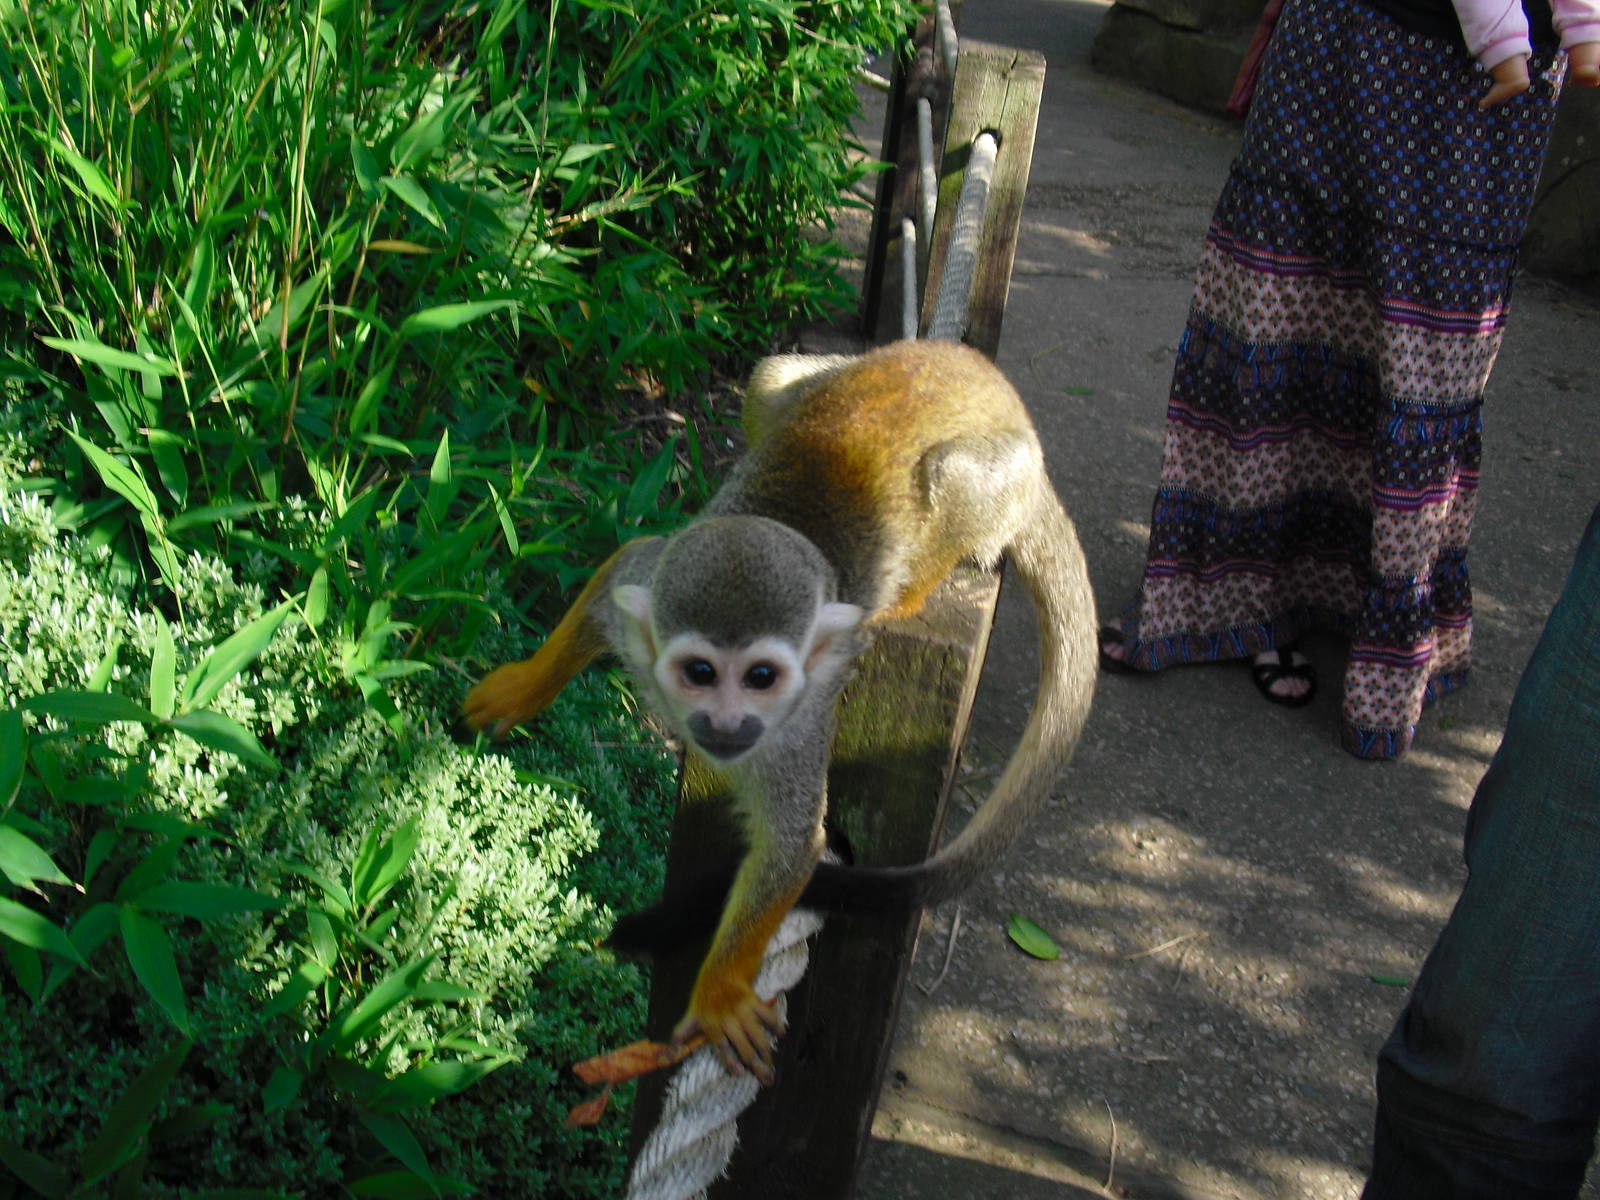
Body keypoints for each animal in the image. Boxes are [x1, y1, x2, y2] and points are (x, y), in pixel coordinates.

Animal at [463, 339, 1096, 1084]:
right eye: (700, 673)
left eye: (762, 678)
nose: (726, 724)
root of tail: (995, 386)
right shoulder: (645, 590)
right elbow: (622, 568)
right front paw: (522, 687)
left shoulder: (797, 724)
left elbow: (794, 844)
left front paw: (719, 994)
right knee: (772, 378)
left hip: (1005, 481)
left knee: (950, 474)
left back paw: (909, 592)